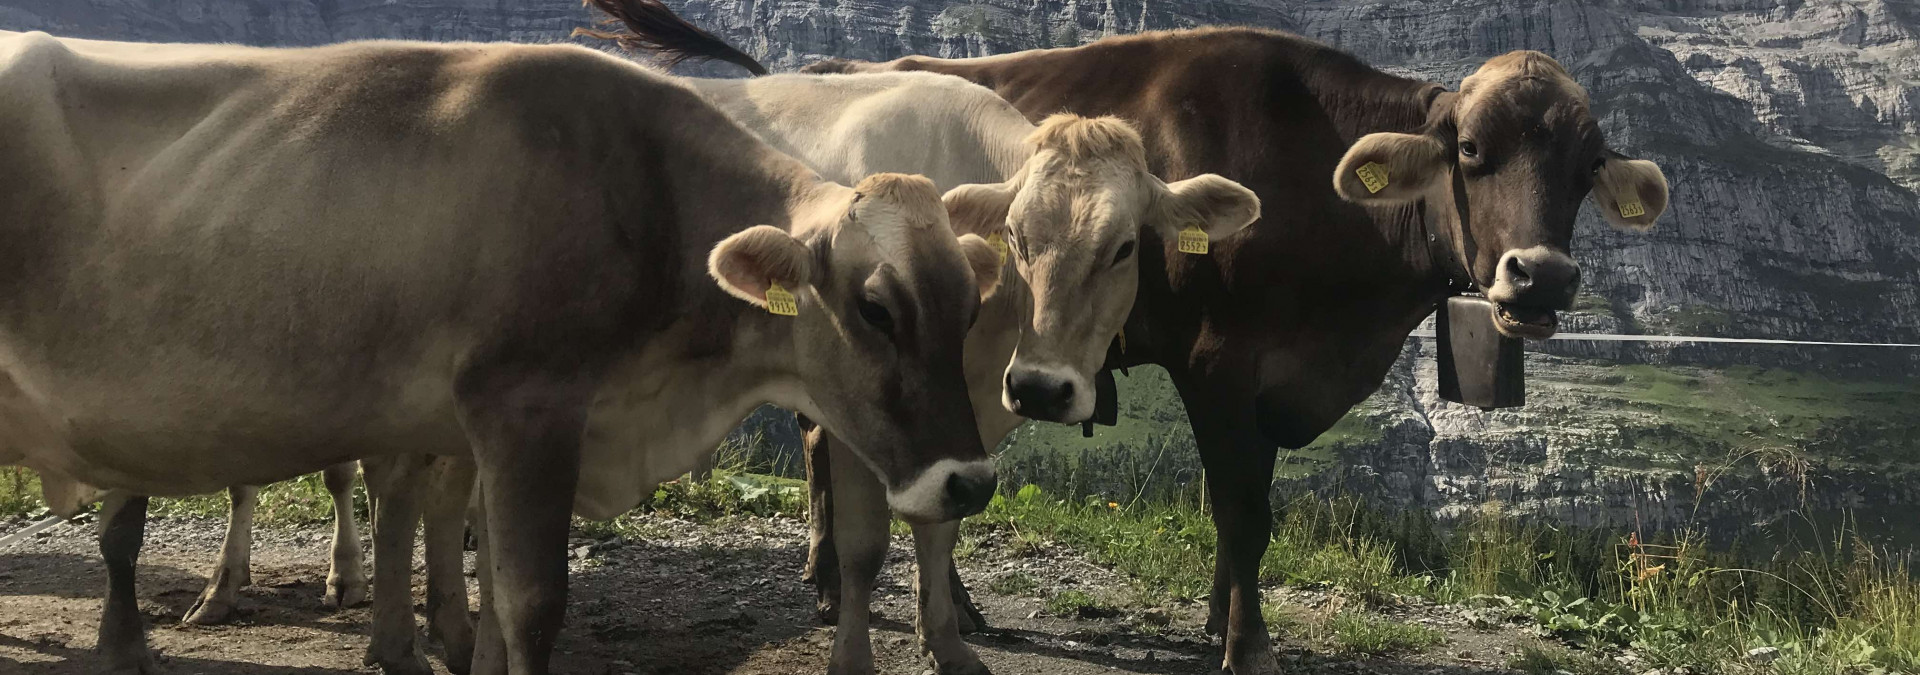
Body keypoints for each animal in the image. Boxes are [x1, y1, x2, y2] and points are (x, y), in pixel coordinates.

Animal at [0, 29, 1003, 675]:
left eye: (967, 308)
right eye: (875, 309)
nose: (970, 481)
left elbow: (481, 594)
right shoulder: (525, 404)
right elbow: (529, 601)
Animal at [788, 29, 1671, 674]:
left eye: (1589, 165)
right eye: (1473, 149)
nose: (1541, 275)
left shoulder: (1273, 377)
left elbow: (1249, 510)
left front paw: (1220, 617)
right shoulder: (1219, 362)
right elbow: (1243, 512)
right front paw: (1248, 646)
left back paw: (856, 588)